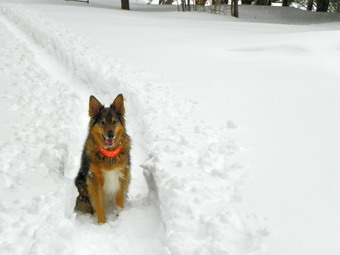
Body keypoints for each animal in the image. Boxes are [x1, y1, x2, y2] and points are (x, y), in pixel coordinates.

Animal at [75, 93, 131, 223]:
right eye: (102, 122)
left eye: (114, 122)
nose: (111, 135)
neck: (108, 154)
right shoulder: (93, 179)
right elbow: (99, 204)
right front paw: (102, 223)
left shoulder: (123, 174)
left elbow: (119, 200)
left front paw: (120, 217)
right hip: (80, 183)